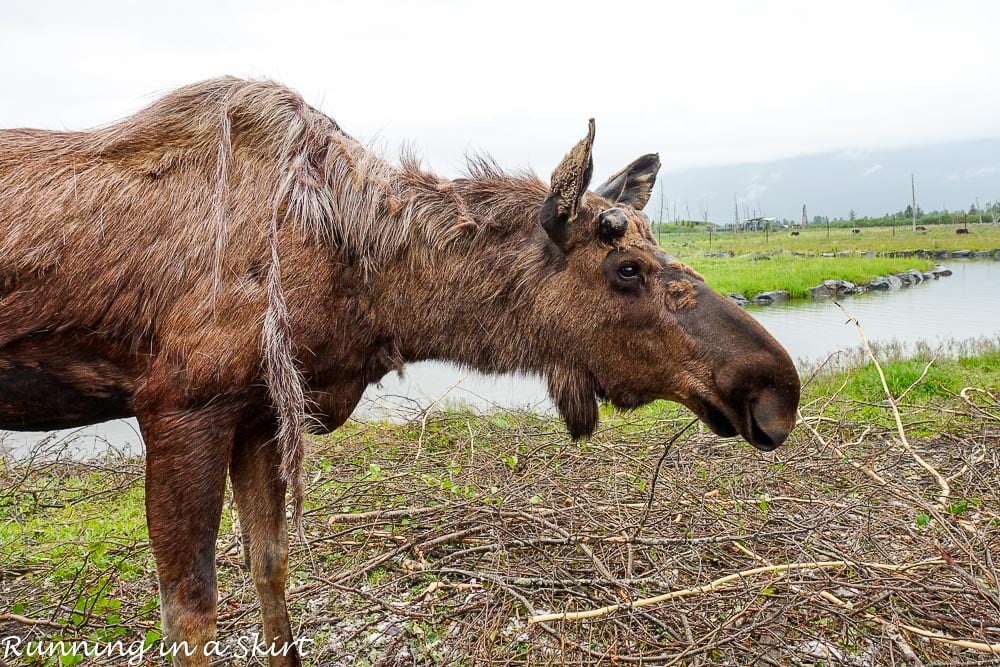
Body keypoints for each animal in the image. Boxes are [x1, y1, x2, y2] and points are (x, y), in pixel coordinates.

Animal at [0, 78, 796, 664]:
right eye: (627, 268)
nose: (776, 387)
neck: (366, 288)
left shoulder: (261, 414)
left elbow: (270, 571)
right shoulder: (179, 407)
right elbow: (191, 616)